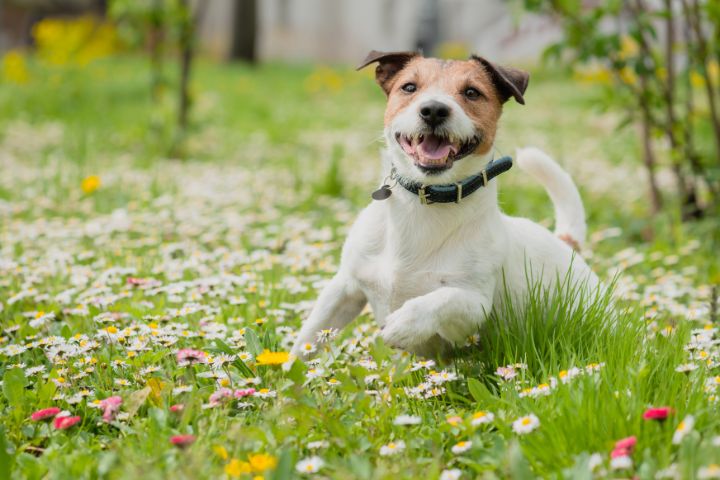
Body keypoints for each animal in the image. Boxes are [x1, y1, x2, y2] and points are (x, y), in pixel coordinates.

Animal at [290, 51, 600, 360]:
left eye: (472, 92)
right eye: (409, 87)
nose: (434, 110)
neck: (425, 202)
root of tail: (566, 243)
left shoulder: (474, 309)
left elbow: (444, 298)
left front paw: (405, 322)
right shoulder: (344, 288)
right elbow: (306, 339)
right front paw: (288, 369)